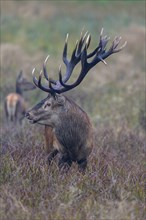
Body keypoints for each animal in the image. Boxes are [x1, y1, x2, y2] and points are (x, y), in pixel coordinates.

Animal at [25, 28, 126, 171]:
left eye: (48, 104)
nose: (28, 113)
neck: (74, 144)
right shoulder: (63, 156)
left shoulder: (85, 157)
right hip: (48, 145)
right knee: (48, 159)